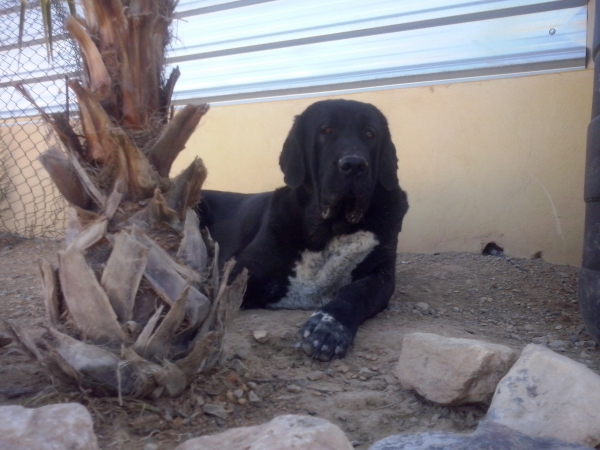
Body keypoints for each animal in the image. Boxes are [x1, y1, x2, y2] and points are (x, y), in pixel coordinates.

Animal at [197, 100, 408, 360]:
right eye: (326, 131)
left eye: (370, 134)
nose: (355, 165)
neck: (330, 231)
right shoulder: (236, 274)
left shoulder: (382, 274)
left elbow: (356, 292)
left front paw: (328, 328)